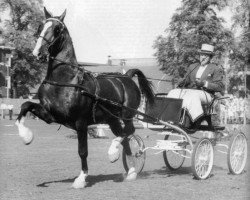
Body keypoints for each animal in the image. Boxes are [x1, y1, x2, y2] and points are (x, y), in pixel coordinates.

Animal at [16, 7, 154, 189]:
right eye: (40, 27)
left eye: (57, 29)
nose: (38, 53)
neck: (64, 80)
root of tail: (127, 77)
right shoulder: (50, 115)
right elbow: (25, 105)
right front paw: (26, 136)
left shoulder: (81, 122)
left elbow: (82, 151)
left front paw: (81, 179)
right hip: (112, 119)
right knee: (123, 136)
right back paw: (129, 170)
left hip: (127, 115)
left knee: (128, 132)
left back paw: (113, 153)